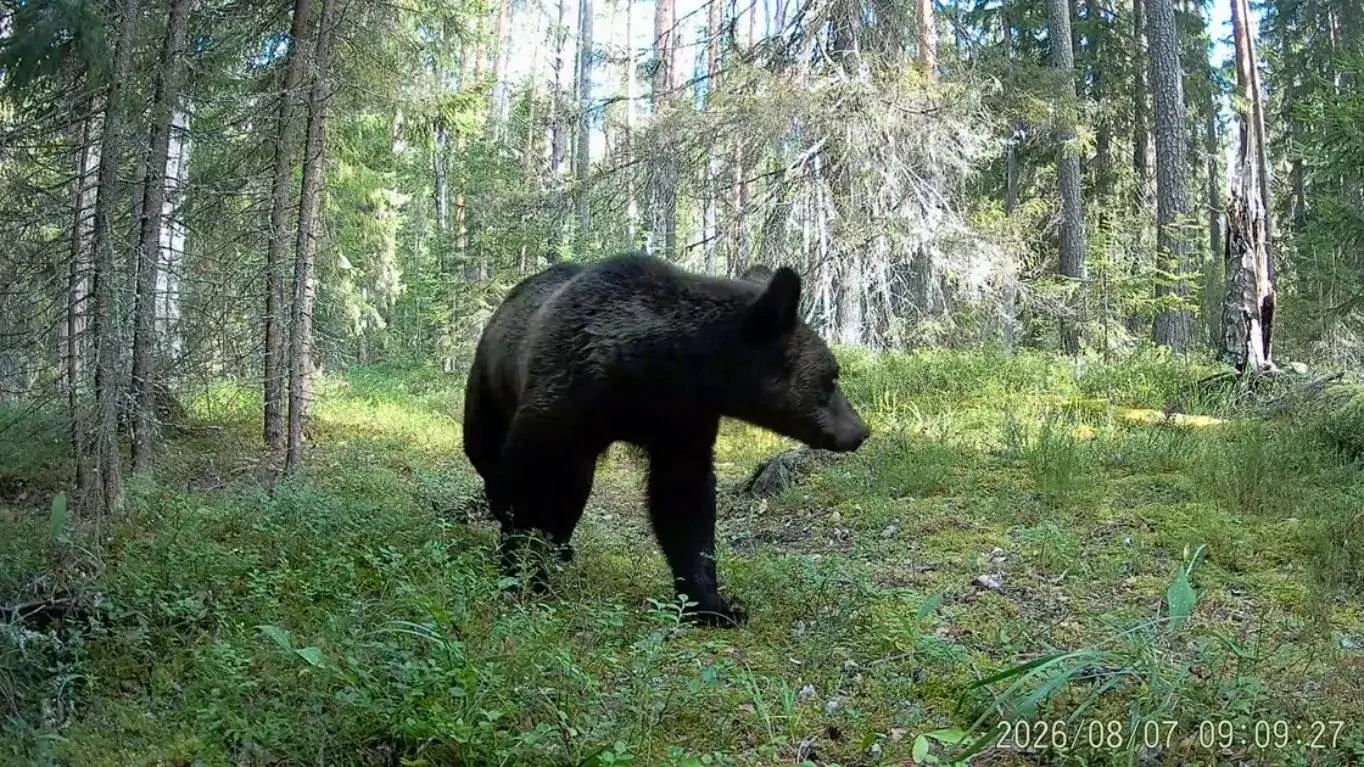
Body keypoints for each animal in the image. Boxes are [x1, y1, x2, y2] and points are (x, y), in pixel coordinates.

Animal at [461, 252, 869, 626]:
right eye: (832, 375)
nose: (860, 432)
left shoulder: (681, 421)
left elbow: (684, 501)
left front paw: (713, 603)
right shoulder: (567, 394)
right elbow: (526, 483)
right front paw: (522, 570)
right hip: (489, 388)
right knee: (492, 454)